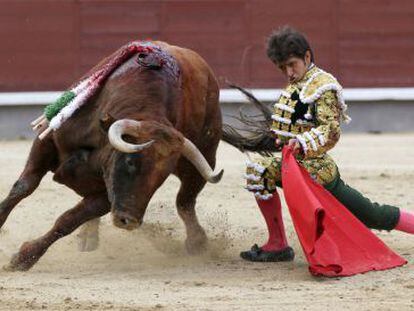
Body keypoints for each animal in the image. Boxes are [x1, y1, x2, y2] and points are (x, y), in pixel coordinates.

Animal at [0, 40, 223, 270]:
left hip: (204, 160)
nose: (129, 221)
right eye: (130, 161)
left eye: (162, 177)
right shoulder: (47, 141)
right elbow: (23, 187)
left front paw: (24, 257)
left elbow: (69, 219)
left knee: (185, 202)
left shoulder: (107, 197)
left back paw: (197, 242)